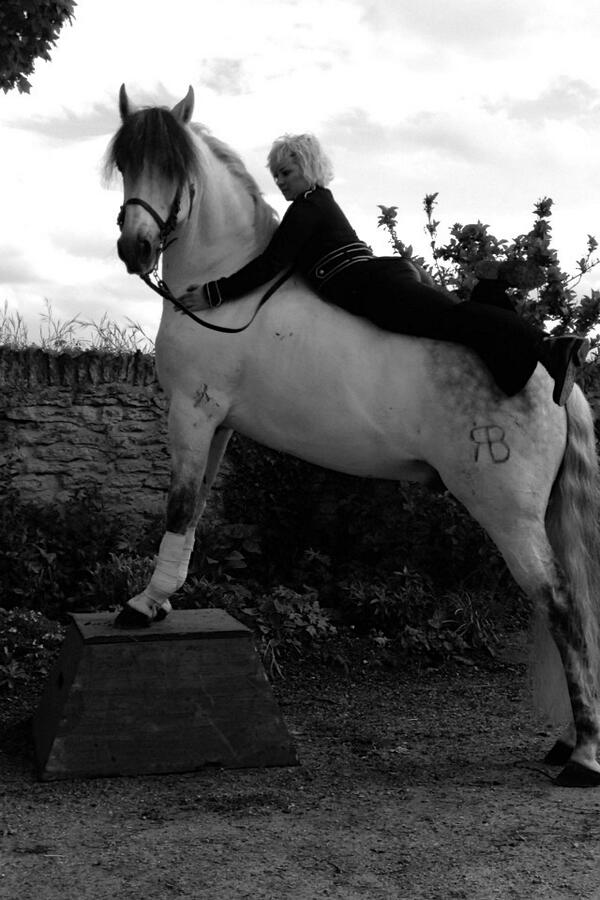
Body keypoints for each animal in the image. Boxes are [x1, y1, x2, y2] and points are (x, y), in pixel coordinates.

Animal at [105, 85, 600, 787]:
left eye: (175, 169)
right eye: (126, 163)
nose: (136, 249)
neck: (225, 287)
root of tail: (556, 380)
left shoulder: (192, 414)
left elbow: (177, 508)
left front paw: (144, 605)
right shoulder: (218, 423)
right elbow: (196, 509)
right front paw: (164, 601)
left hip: (507, 510)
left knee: (559, 604)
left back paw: (583, 757)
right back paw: (565, 742)